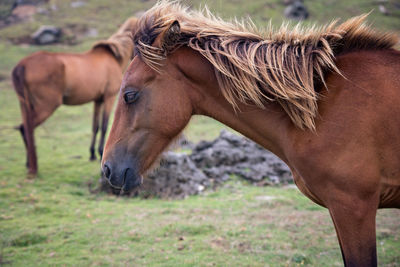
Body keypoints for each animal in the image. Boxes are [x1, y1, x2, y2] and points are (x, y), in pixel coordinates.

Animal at [12, 16, 138, 176]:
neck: (113, 57)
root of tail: (22, 65)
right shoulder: (109, 97)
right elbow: (104, 127)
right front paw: (100, 154)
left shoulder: (98, 100)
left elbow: (95, 127)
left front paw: (92, 154)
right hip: (46, 106)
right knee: (27, 129)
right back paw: (32, 166)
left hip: (25, 105)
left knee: (24, 128)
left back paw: (29, 164)